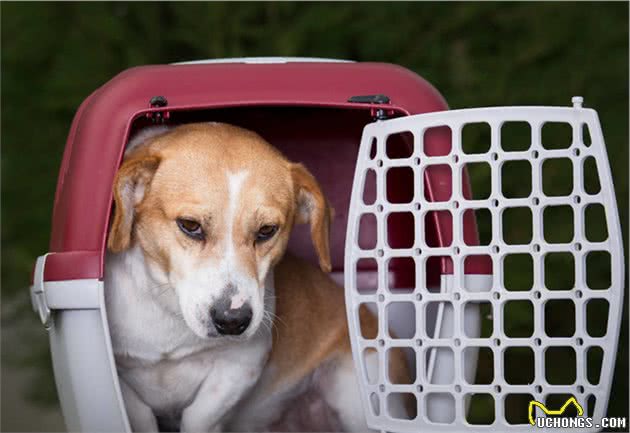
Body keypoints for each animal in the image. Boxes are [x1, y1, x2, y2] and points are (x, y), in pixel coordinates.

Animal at [105, 122, 410, 432]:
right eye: (190, 225)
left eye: (266, 230)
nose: (232, 320)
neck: (169, 313)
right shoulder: (120, 377)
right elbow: (140, 414)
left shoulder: (241, 366)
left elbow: (199, 416)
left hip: (355, 397)